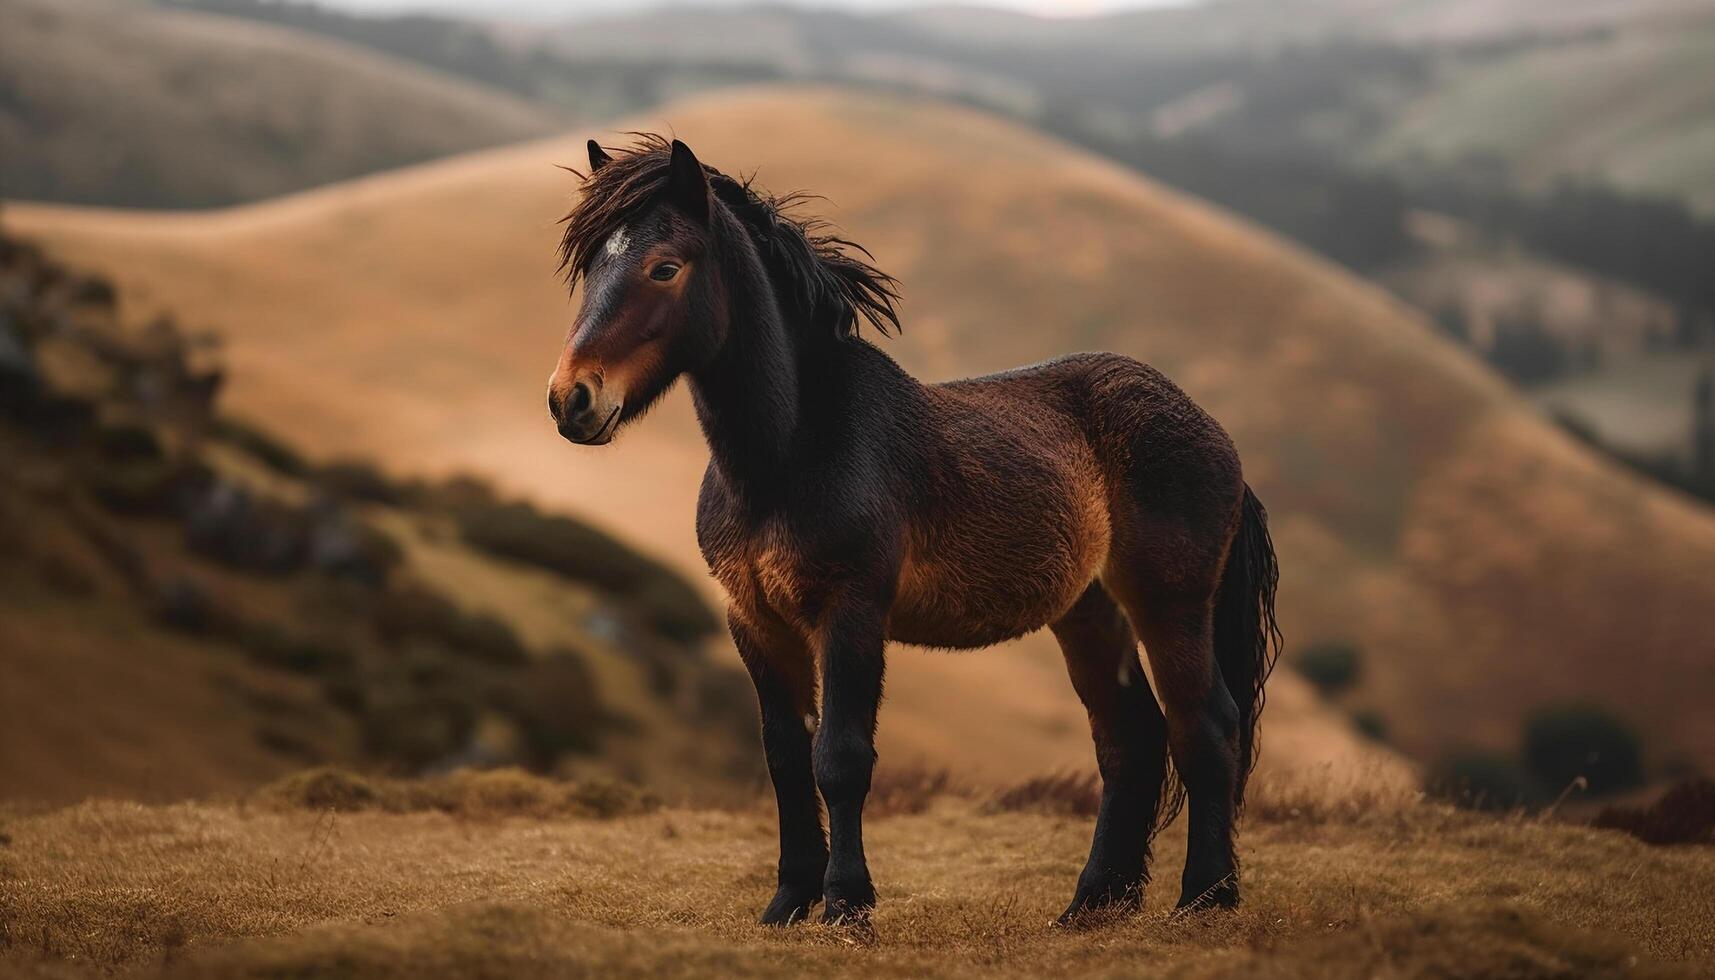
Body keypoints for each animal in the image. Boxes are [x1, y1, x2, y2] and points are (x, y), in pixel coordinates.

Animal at [541, 136, 1282, 926]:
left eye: (664, 266)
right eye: (592, 267)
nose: (571, 399)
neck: (791, 452)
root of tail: (1208, 426)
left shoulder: (851, 612)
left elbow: (840, 757)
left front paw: (846, 905)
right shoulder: (756, 622)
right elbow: (785, 759)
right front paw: (788, 902)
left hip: (1170, 604)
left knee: (1205, 725)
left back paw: (1205, 899)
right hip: (1089, 613)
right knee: (1130, 739)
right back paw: (1091, 905)